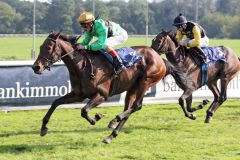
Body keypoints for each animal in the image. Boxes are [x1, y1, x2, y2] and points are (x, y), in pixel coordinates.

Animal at [32, 31, 189, 144]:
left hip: (146, 81)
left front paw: (96, 118)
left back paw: (115, 120)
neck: (82, 65)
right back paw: (111, 135)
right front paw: (43, 128)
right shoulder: (78, 94)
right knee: (129, 109)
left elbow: (84, 111)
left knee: (136, 106)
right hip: (132, 87)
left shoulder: (102, 95)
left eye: (49, 47)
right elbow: (55, 102)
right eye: (40, 47)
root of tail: (159, 58)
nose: (36, 67)